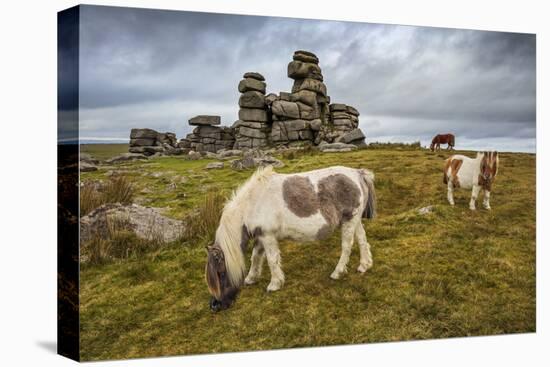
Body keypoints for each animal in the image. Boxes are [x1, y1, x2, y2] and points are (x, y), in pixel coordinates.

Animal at [205, 165, 378, 312]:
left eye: (220, 273)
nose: (215, 305)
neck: (252, 203)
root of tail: (358, 173)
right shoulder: (261, 236)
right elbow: (256, 257)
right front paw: (251, 278)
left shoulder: (268, 236)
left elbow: (271, 260)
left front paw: (275, 284)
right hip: (355, 220)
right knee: (362, 241)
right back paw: (364, 265)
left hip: (349, 220)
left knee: (347, 246)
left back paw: (338, 272)